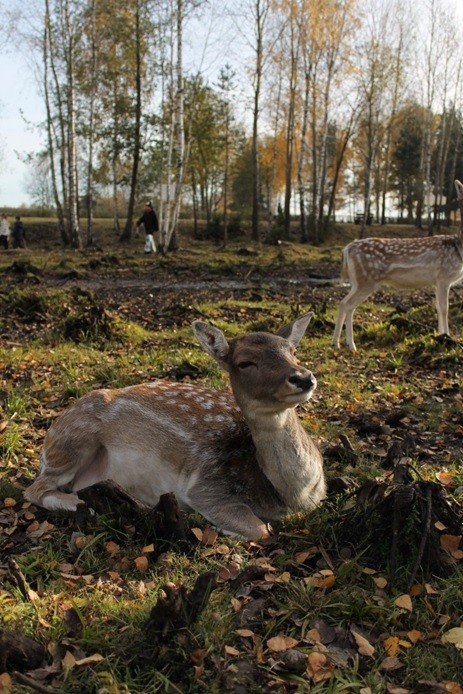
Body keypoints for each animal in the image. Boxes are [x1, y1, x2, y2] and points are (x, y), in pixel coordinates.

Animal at [24, 312, 326, 540]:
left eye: (293, 351)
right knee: (35, 489)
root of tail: (47, 439)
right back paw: (89, 504)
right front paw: (213, 527)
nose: (303, 378)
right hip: (70, 444)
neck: (292, 498)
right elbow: (261, 529)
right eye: (245, 362)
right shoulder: (206, 486)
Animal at [334, 179, 463, 354]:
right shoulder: (443, 277)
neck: (458, 248)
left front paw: (441, 336)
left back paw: (335, 343)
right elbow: (444, 309)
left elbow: (437, 308)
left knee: (342, 303)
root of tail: (347, 248)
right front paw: (447, 337)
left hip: (357, 281)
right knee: (348, 305)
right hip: (366, 281)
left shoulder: (436, 282)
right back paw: (351, 345)